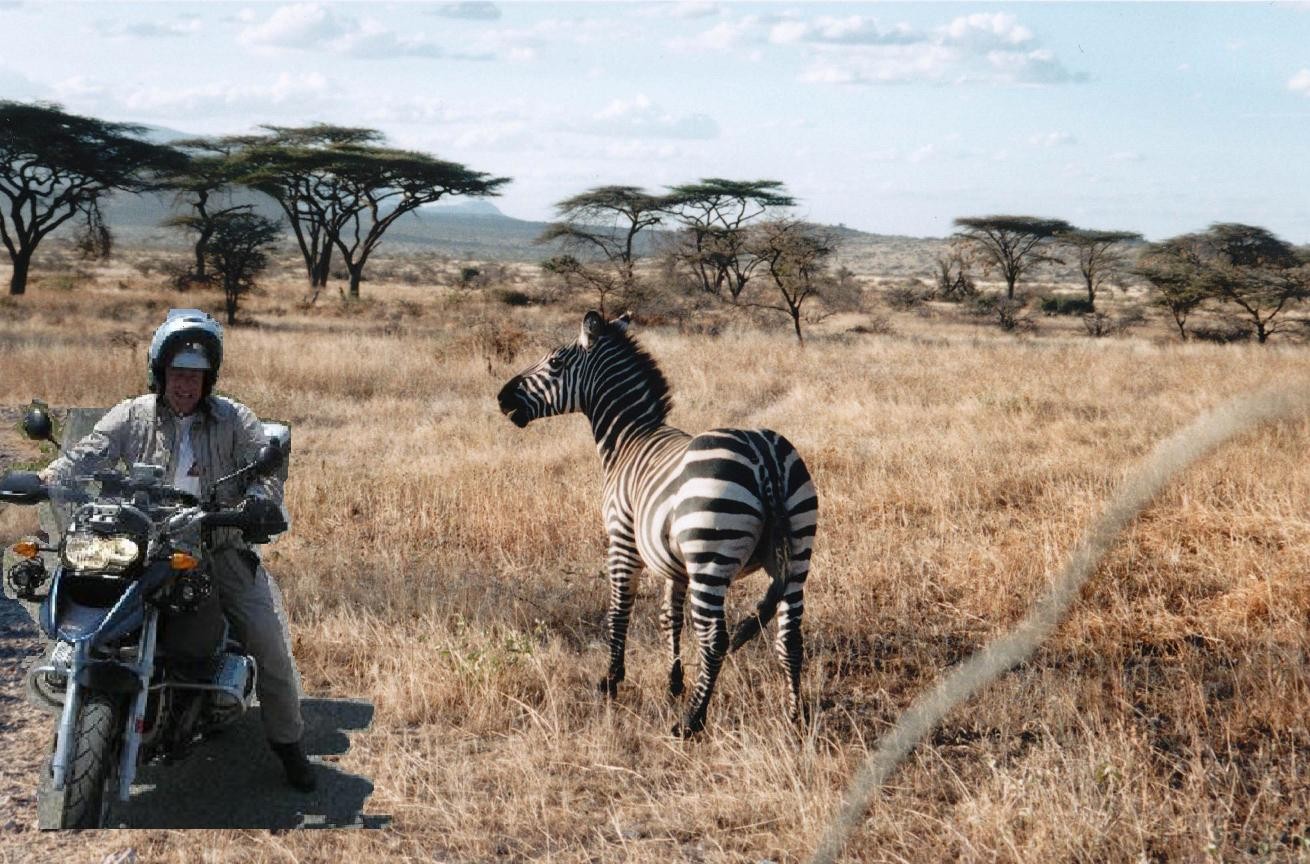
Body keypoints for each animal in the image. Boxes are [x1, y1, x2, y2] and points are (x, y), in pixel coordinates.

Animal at [497, 311, 818, 736]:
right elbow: (670, 617)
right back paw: (796, 719)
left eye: (554, 363)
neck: (628, 439)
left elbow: (619, 610)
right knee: (790, 638)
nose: (502, 397)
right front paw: (673, 683)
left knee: (715, 639)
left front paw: (611, 681)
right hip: (797, 553)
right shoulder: (674, 562)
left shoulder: (621, 539)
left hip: (711, 556)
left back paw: (692, 722)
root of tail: (763, 455)